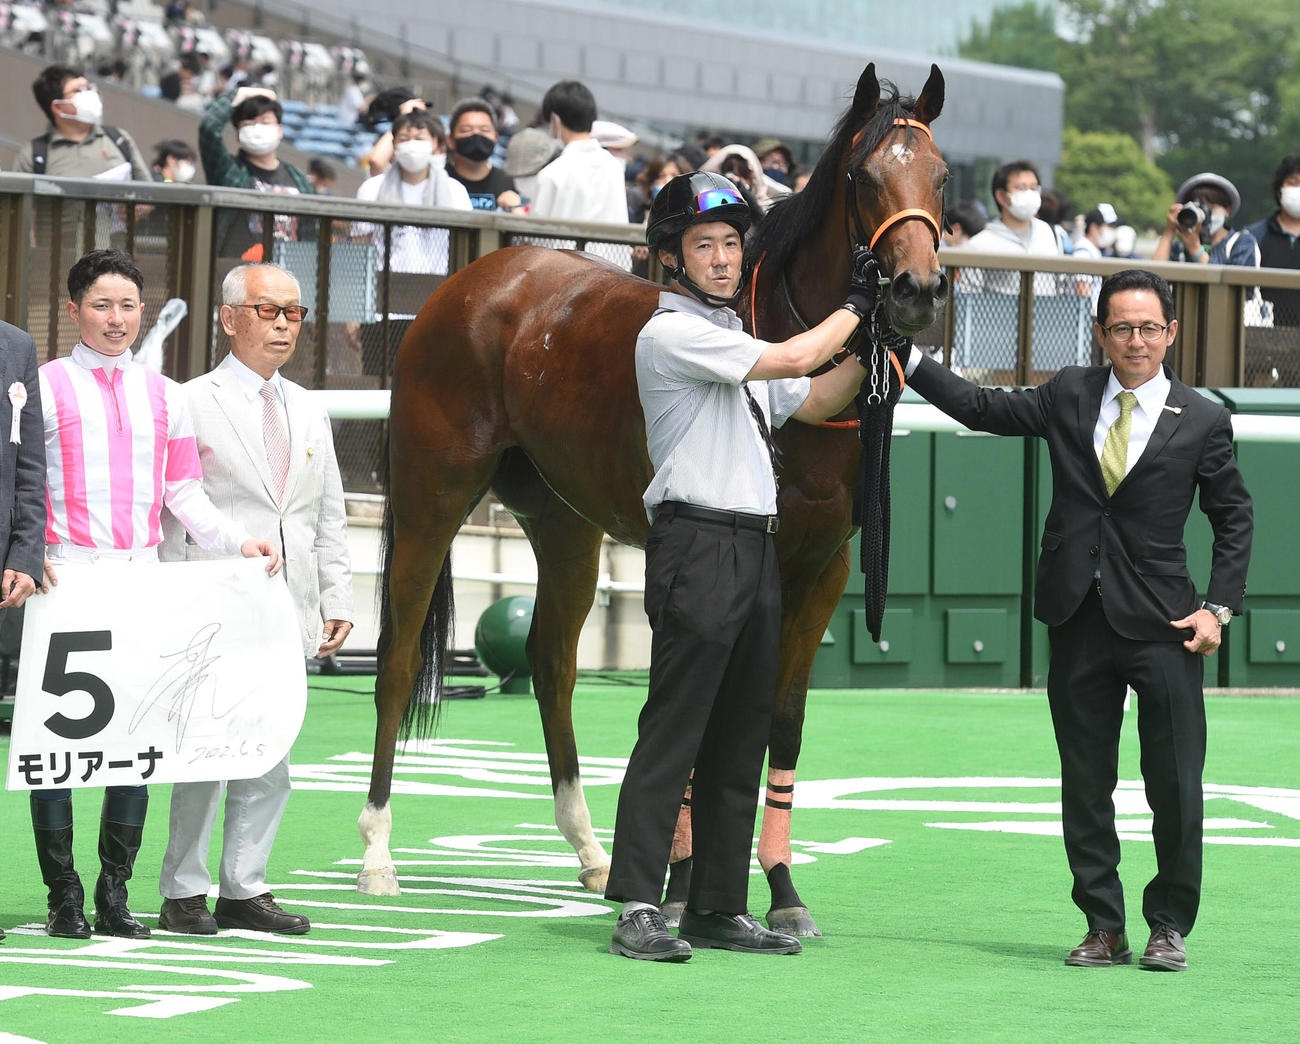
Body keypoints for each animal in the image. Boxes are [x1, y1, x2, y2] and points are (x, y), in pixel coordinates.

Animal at [357, 60, 949, 938]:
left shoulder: (825, 571)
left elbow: (782, 722)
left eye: (939, 177)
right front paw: (685, 887)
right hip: (434, 495)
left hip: (563, 522)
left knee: (552, 663)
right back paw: (378, 853)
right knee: (397, 660)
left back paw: (591, 852)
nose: (914, 290)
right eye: (865, 178)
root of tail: (470, 284)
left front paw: (781, 891)